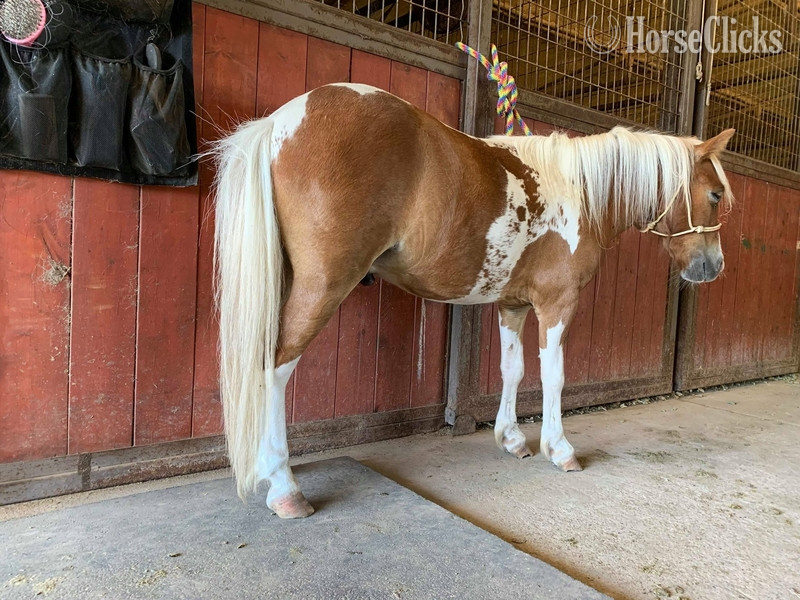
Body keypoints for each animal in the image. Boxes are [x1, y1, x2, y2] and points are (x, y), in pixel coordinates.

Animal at [210, 82, 734, 518]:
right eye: (713, 194)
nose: (713, 267)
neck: (580, 192)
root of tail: (281, 122)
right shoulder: (556, 303)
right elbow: (554, 376)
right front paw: (559, 449)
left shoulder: (513, 304)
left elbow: (512, 369)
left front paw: (512, 439)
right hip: (322, 285)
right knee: (274, 368)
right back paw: (284, 486)